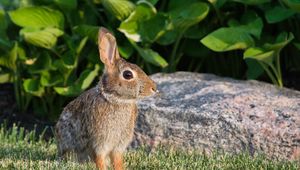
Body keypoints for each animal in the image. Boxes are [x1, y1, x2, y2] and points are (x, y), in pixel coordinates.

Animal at [54, 27, 157, 169]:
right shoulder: (100, 142)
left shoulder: (118, 145)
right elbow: (99, 159)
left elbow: (117, 160)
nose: (154, 88)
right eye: (128, 74)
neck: (115, 98)